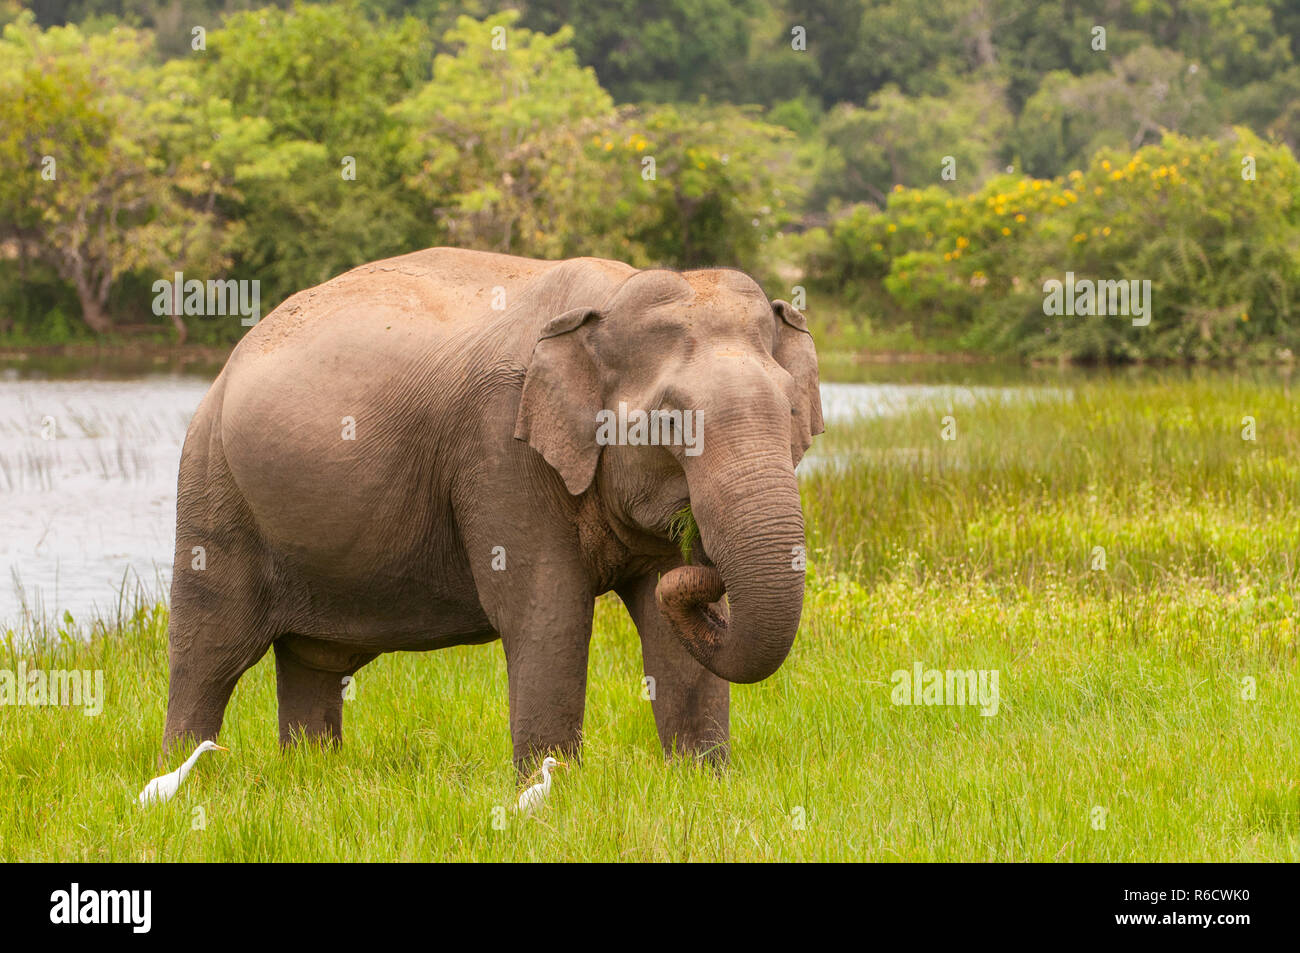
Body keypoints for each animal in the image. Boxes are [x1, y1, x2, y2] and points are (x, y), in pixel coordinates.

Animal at [162, 247, 823, 772]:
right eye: (667, 423)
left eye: (791, 412)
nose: (703, 561)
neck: (608, 298)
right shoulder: (500, 445)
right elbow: (547, 611)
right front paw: (551, 788)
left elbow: (662, 624)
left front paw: (702, 780)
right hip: (212, 487)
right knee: (210, 650)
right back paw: (188, 775)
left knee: (312, 659)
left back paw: (311, 772)